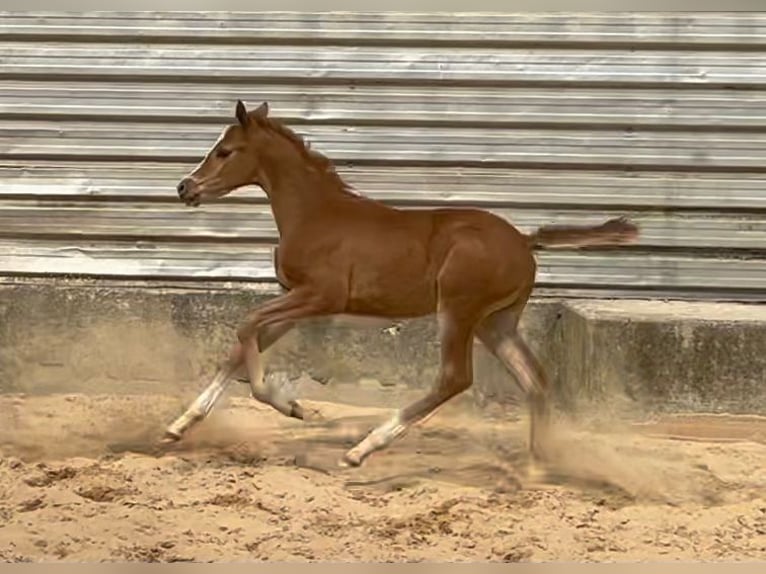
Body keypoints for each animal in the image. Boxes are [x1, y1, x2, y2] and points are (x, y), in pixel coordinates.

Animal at [166, 101, 640, 470]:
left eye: (224, 151)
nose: (184, 187)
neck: (314, 213)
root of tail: (524, 240)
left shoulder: (321, 296)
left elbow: (245, 327)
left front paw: (293, 406)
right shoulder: (297, 301)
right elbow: (240, 348)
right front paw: (178, 426)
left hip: (458, 309)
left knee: (455, 377)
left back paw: (363, 449)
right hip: (496, 322)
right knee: (535, 378)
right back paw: (538, 467)